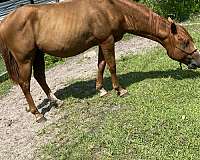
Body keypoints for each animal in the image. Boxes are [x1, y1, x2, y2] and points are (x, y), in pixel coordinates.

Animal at [0, 0, 200, 122]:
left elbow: (101, 66)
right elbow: (112, 65)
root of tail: (5, 21)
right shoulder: (107, 41)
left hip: (38, 54)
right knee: (25, 84)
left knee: (40, 77)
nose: (197, 62)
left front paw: (101, 90)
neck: (113, 8)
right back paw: (37, 115)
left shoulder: (101, 42)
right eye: (184, 41)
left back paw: (57, 102)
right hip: (25, 59)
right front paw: (120, 90)